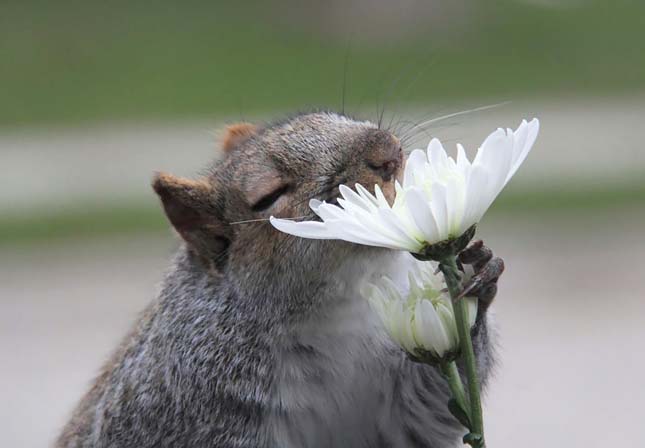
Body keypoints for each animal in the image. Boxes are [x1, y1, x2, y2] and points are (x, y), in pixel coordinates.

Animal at [55, 110, 500, 446]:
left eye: (333, 116)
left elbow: (432, 405)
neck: (337, 309)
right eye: (269, 196)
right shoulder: (191, 406)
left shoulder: (396, 403)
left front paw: (476, 274)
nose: (387, 151)